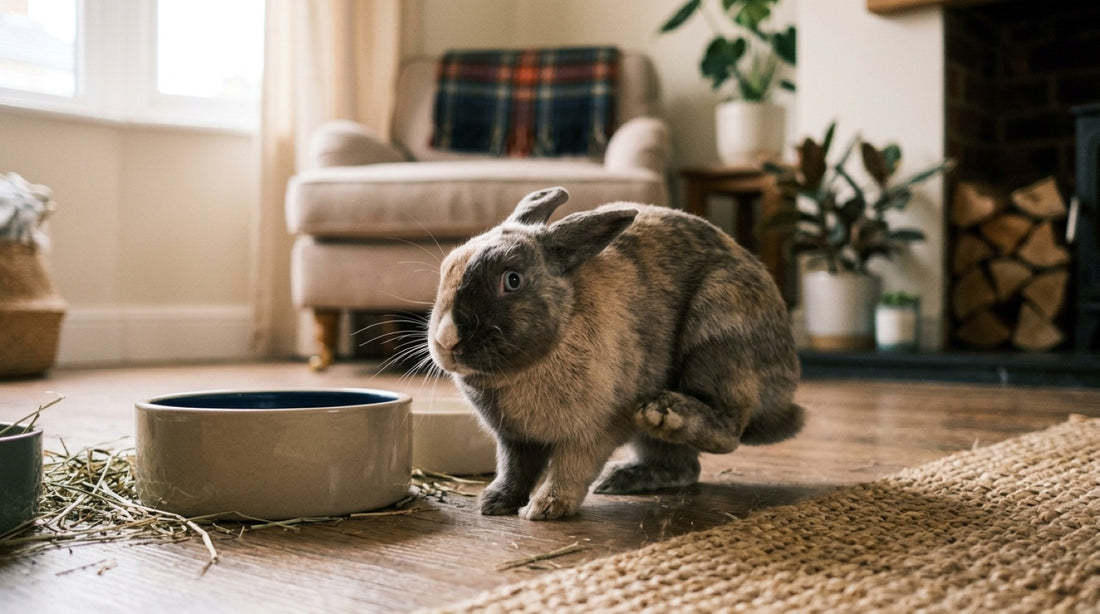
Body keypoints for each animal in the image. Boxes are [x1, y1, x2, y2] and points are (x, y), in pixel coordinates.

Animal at [427, 187, 804, 520]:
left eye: (513, 280)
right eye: (446, 268)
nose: (446, 339)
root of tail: (785, 395)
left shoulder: (593, 431)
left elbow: (570, 469)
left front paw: (545, 507)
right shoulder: (515, 440)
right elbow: (514, 471)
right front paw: (493, 502)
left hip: (718, 339)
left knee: (728, 431)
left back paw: (664, 413)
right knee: (684, 466)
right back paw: (621, 477)